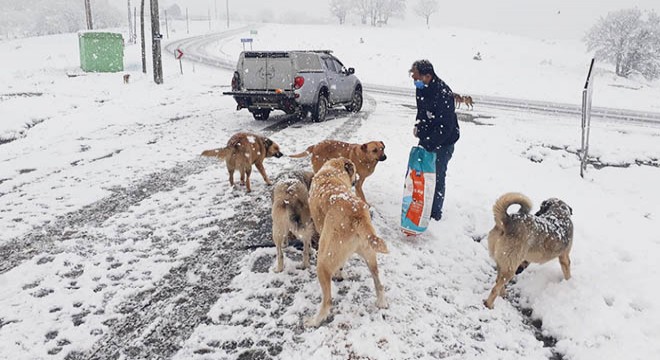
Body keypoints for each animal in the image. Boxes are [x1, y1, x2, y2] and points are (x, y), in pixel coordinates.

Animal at [306, 158, 390, 326]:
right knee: (379, 282)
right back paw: (381, 302)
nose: (356, 179)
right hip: (369, 253)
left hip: (323, 262)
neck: (332, 171)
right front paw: (340, 273)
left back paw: (315, 321)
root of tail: (357, 214)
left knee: (327, 302)